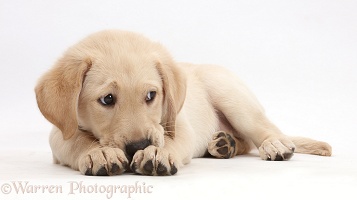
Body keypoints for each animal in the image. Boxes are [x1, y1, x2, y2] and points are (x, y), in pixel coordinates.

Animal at [34, 29, 330, 175]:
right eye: (107, 99)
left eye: (151, 96)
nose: (139, 146)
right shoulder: (59, 133)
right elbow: (75, 140)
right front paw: (99, 152)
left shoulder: (180, 126)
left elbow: (170, 139)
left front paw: (156, 152)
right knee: (245, 141)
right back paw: (225, 144)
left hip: (230, 94)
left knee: (264, 128)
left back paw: (274, 144)